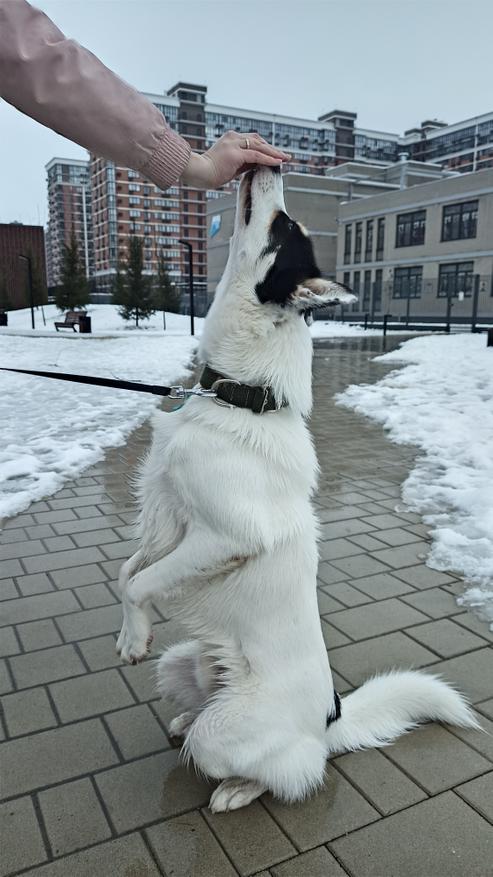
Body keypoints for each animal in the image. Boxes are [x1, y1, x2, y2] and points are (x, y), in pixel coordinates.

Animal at [116, 165, 479, 813]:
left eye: (284, 228)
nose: (271, 164)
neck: (241, 397)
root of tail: (330, 721)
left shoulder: (225, 538)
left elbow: (141, 583)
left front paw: (134, 635)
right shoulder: (167, 520)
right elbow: (126, 571)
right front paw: (124, 631)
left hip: (232, 736)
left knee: (296, 772)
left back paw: (236, 788)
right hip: (180, 664)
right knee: (205, 712)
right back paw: (184, 720)